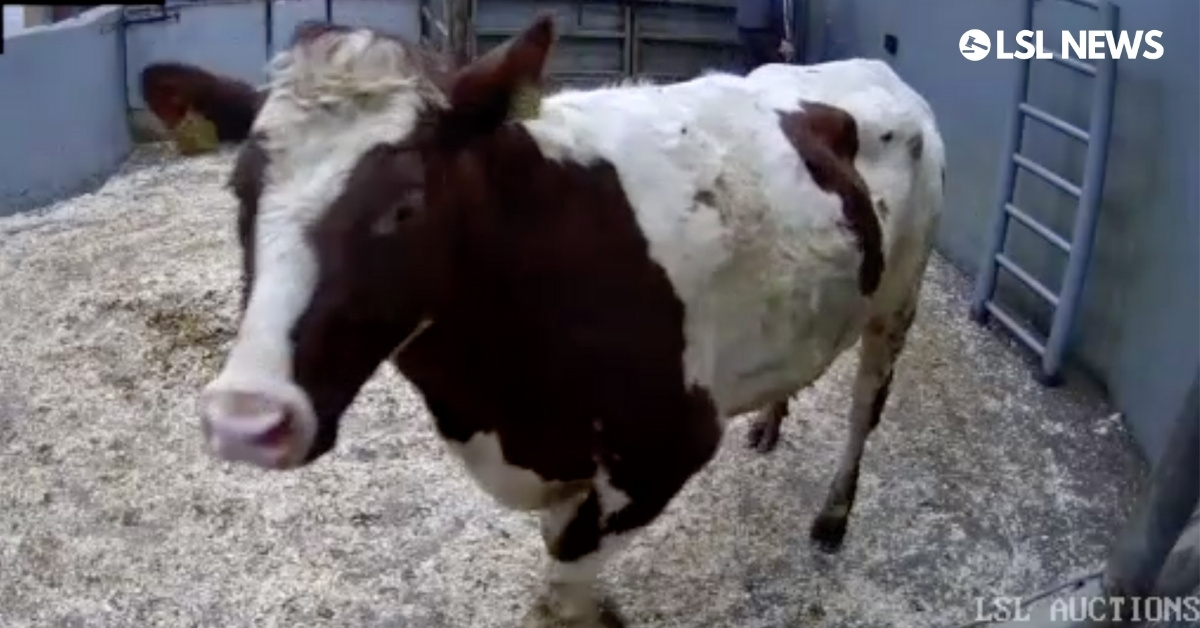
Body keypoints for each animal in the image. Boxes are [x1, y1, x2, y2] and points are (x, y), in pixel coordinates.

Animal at [162, 15, 945, 628]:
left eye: (406, 204)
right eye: (240, 188)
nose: (245, 418)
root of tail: (869, 67)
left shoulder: (666, 449)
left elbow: (560, 591)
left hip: (899, 297)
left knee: (863, 408)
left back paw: (833, 516)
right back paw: (771, 421)